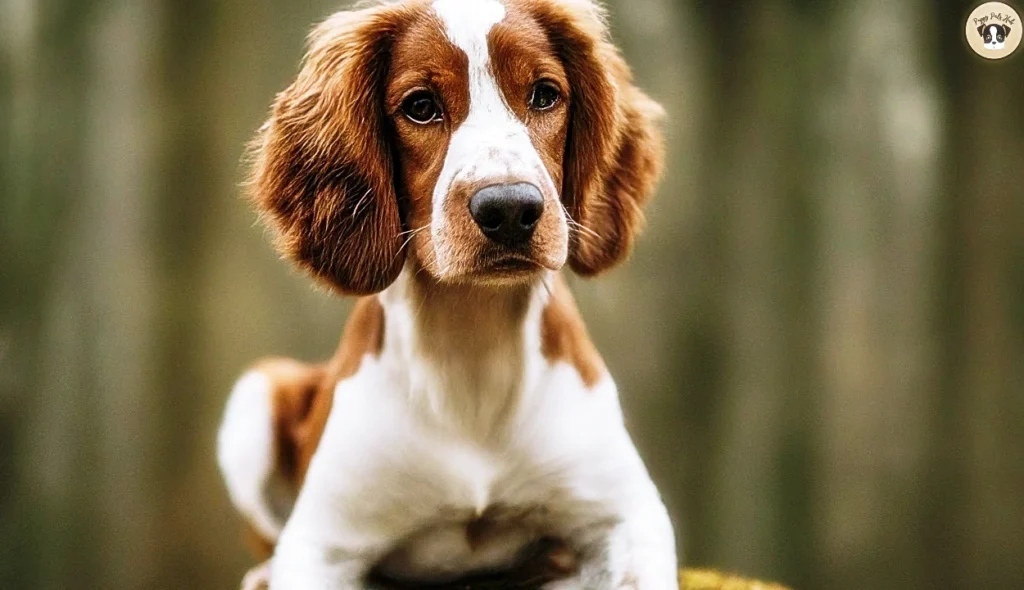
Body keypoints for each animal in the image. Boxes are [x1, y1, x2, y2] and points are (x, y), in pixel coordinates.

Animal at [218, 0, 671, 585]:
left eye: (545, 94)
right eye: (420, 107)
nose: (509, 209)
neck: (471, 347)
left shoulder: (629, 515)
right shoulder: (322, 545)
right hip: (258, 390)